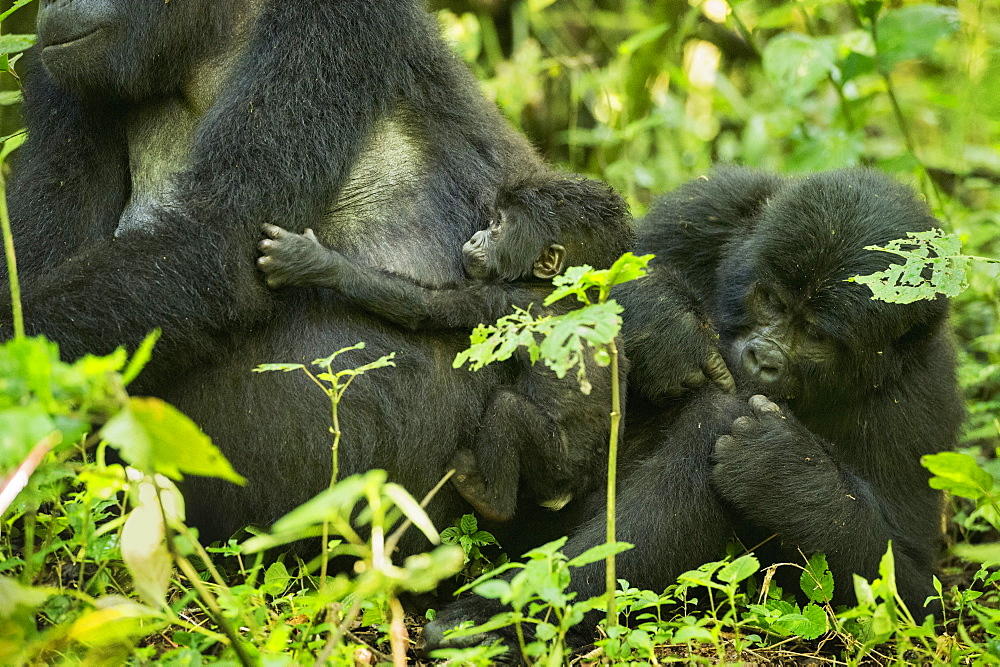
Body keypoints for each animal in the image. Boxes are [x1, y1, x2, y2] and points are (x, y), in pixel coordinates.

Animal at [258, 175, 632, 524]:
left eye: (498, 227)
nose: (476, 237)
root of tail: (566, 492)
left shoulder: (501, 298)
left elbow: (426, 307)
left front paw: (312, 262)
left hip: (553, 467)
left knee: (507, 409)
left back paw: (491, 499)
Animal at [426, 170, 964, 656]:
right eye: (770, 301)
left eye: (815, 335)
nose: (762, 359)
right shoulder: (705, 208)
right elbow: (605, 261)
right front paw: (664, 321)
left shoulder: (922, 400)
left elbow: (914, 598)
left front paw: (789, 475)